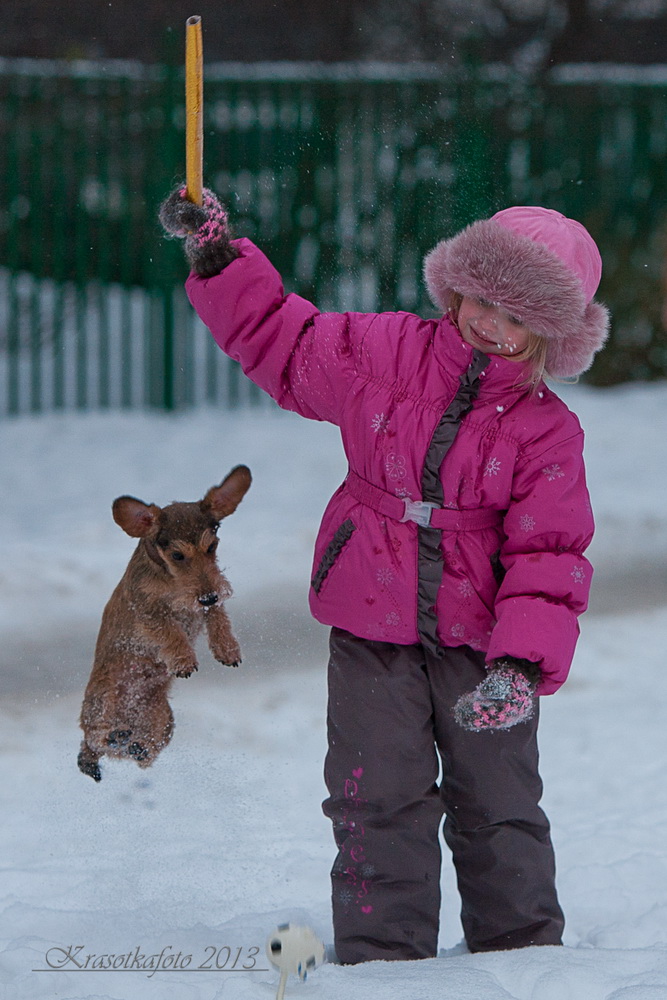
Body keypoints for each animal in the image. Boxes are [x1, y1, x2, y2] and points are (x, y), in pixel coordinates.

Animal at [76, 464, 253, 784]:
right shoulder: (148, 610)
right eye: (177, 555)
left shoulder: (208, 603)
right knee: (94, 738)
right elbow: (170, 631)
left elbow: (219, 618)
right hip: (102, 701)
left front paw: (227, 649)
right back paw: (114, 737)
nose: (208, 595)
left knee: (145, 752)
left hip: (165, 720)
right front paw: (183, 660)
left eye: (212, 546)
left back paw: (135, 746)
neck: (171, 583)